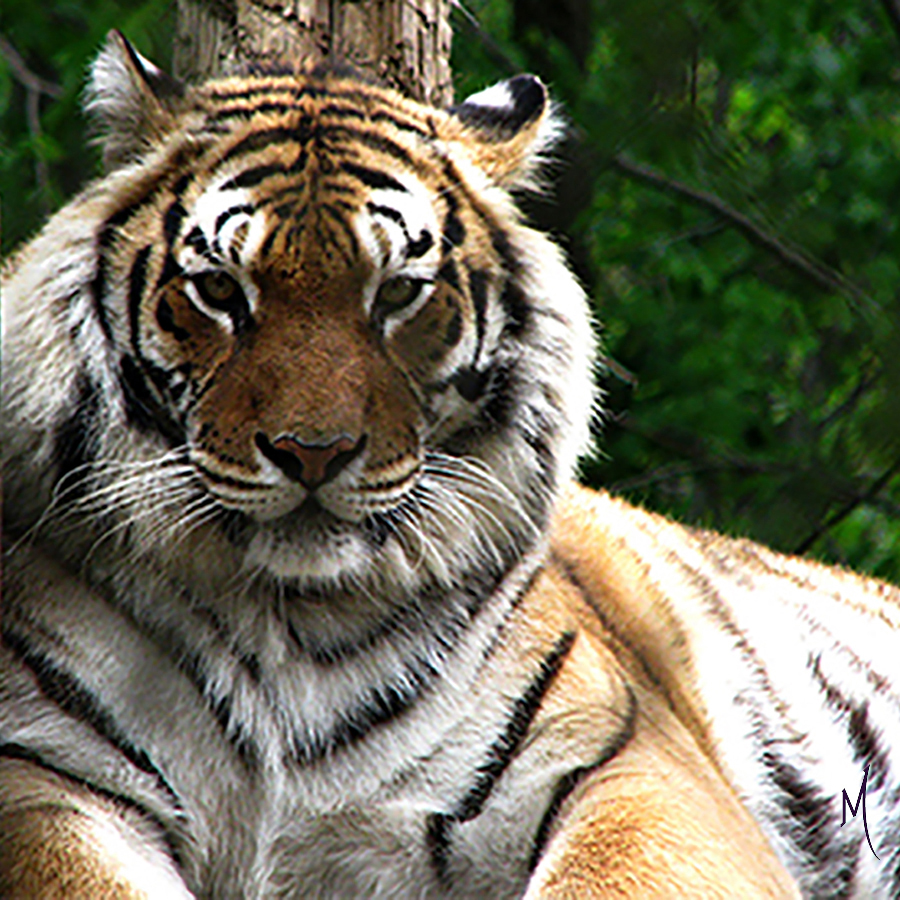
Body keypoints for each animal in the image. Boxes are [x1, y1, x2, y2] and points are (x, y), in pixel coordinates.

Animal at [1, 28, 898, 898]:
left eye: (399, 293)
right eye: (220, 290)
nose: (312, 454)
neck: (285, 625)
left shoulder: (626, 764)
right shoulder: (44, 778)